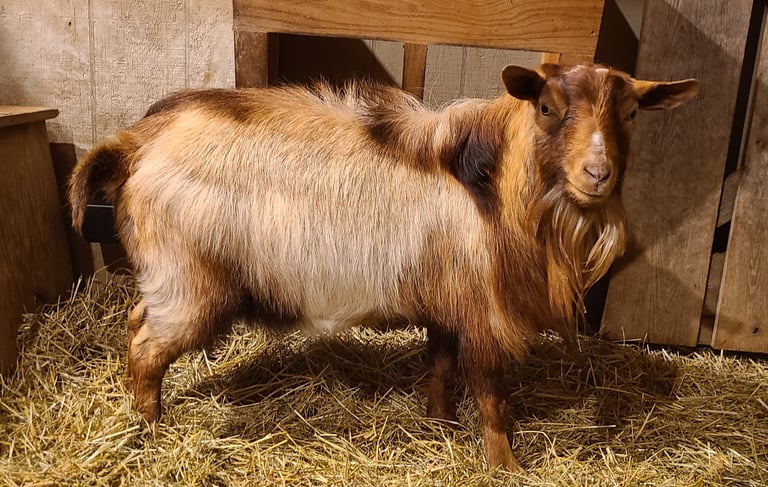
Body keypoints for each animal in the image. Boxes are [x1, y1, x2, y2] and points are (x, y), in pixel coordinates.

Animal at [67, 64, 697, 470]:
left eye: (631, 112)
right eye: (547, 108)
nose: (598, 175)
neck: (494, 186)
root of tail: (134, 144)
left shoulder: (447, 303)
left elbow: (440, 366)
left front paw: (440, 424)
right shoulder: (483, 313)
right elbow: (491, 394)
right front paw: (506, 465)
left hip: (169, 279)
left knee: (134, 321)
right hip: (190, 286)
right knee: (146, 346)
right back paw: (151, 428)